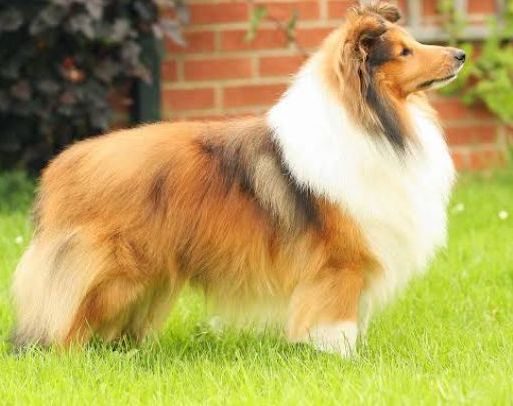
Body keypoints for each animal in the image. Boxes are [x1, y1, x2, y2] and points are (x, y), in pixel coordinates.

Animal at [10, 1, 462, 356]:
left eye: (413, 43)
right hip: (111, 275)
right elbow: (337, 325)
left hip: (149, 281)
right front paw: (342, 361)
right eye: (404, 51)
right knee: (65, 323)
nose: (459, 53)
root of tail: (61, 167)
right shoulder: (339, 265)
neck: (370, 121)